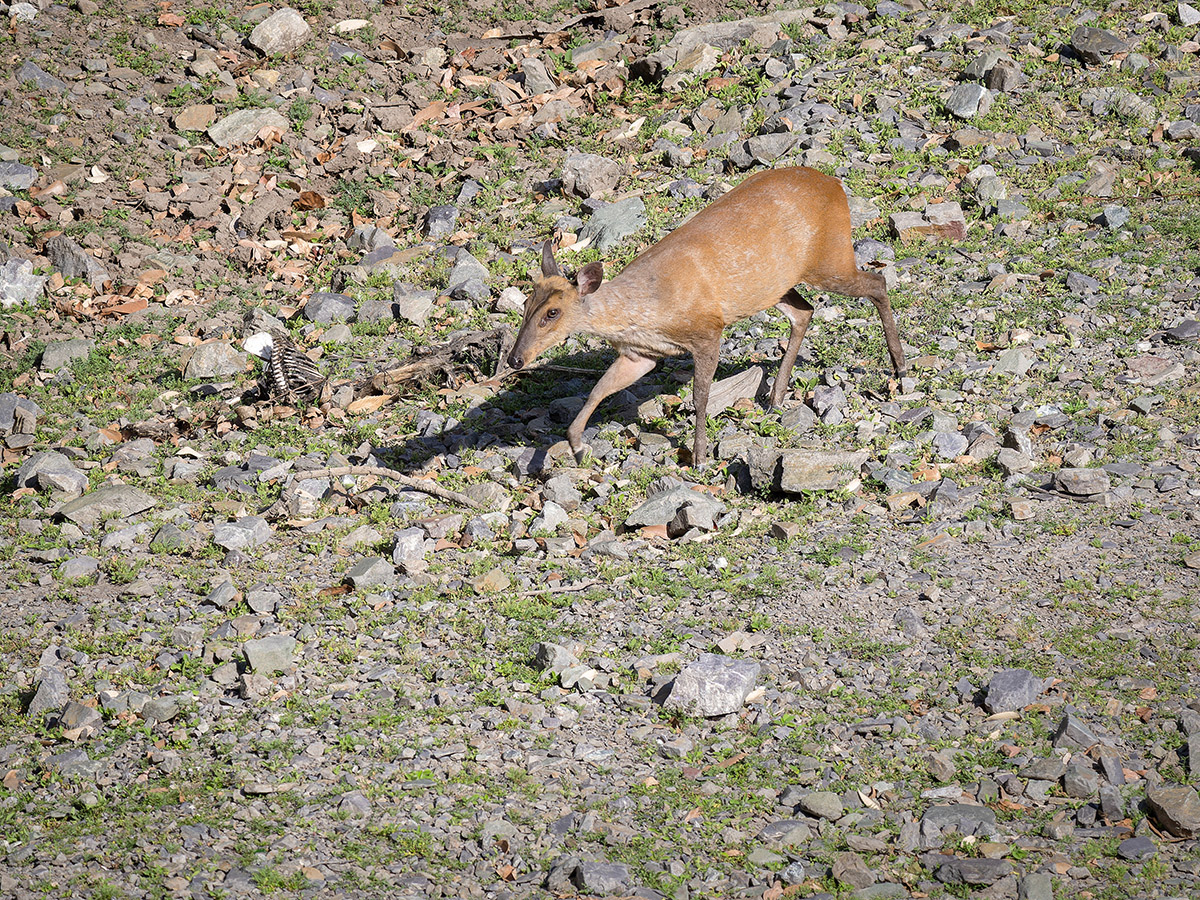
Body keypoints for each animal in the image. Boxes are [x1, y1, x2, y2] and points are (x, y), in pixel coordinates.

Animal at [506, 166, 907, 465]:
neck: (649, 307)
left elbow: (701, 397)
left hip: (830, 257)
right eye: (525, 306)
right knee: (804, 311)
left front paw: (699, 456)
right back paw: (776, 396)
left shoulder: (707, 331)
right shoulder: (640, 355)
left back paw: (900, 370)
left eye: (552, 313)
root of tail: (835, 183)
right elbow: (598, 390)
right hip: (772, 284)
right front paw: (576, 445)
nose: (514, 359)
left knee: (877, 281)